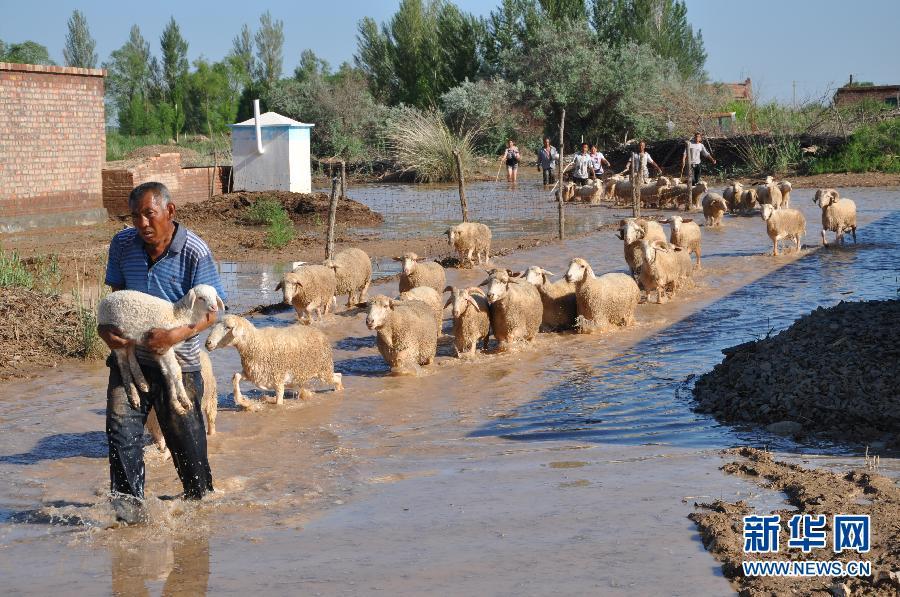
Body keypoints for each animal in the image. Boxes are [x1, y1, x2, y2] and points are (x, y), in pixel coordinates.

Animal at [98, 284, 224, 416]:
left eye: (214, 296)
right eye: (201, 298)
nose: (214, 307)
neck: (178, 315)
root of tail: (103, 301)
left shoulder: (161, 351)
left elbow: (168, 373)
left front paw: (176, 404)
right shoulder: (165, 346)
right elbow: (176, 371)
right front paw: (185, 400)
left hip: (129, 337)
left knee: (132, 358)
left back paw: (142, 383)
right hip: (115, 334)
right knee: (124, 366)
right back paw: (134, 395)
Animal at [205, 314, 343, 406]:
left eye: (228, 327)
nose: (208, 343)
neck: (255, 343)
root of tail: (319, 332)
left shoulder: (278, 379)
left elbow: (279, 401)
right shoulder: (254, 373)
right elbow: (236, 377)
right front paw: (241, 400)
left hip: (324, 369)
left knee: (337, 377)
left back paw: (339, 391)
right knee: (338, 375)